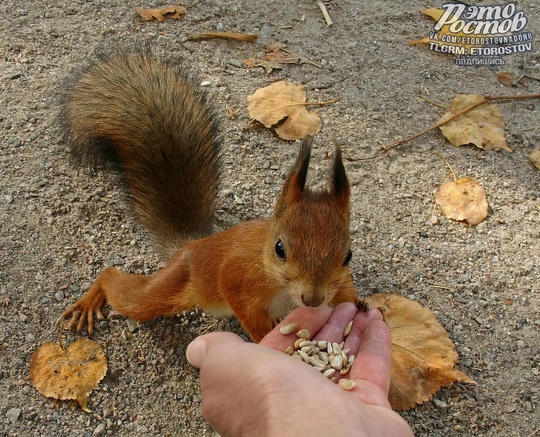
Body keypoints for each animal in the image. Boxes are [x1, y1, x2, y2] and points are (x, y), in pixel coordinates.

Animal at [60, 47, 362, 340]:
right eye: (280, 249)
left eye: (348, 255)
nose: (313, 299)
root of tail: (190, 246)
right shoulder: (237, 278)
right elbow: (244, 308)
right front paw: (267, 338)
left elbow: (345, 291)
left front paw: (362, 306)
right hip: (173, 283)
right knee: (124, 288)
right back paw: (91, 298)